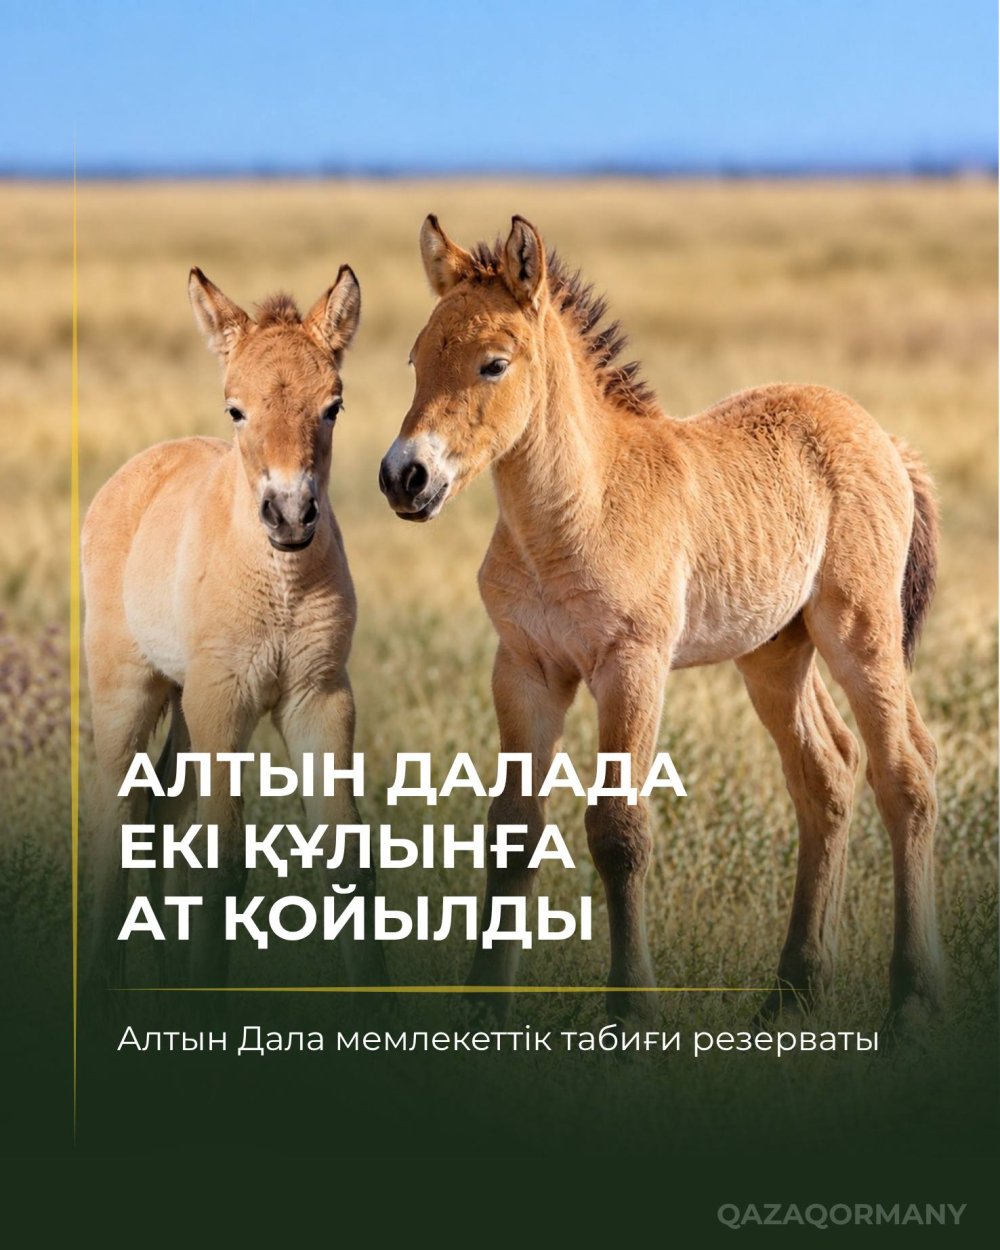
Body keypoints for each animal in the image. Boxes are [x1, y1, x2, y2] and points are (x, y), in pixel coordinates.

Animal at [82, 264, 385, 991]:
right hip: (128, 691)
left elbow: (347, 861)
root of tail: (130, 474)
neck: (280, 586)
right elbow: (221, 865)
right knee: (117, 818)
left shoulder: (317, 697)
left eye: (333, 406)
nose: (291, 513)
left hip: (187, 703)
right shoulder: (227, 699)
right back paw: (106, 988)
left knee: (162, 815)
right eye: (235, 409)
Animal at [379, 213, 942, 1031]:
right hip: (775, 652)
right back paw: (794, 990)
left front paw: (633, 1012)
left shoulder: (631, 666)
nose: (405, 478)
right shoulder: (524, 669)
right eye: (417, 358)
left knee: (905, 775)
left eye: (493, 364)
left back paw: (913, 999)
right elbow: (512, 830)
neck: (573, 515)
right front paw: (483, 1008)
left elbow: (620, 831)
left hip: (861, 633)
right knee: (829, 774)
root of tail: (885, 440)